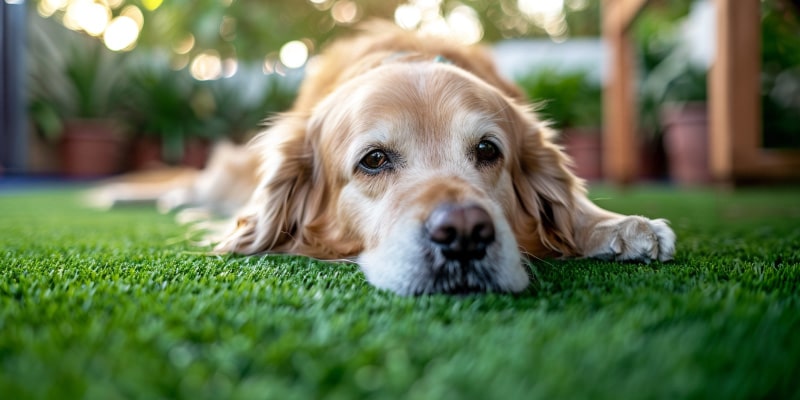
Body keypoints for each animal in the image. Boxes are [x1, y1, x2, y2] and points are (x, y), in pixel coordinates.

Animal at [90, 24, 676, 294]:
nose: (465, 233)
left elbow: (578, 207)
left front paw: (620, 225)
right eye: (373, 160)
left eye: (488, 150)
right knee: (199, 189)